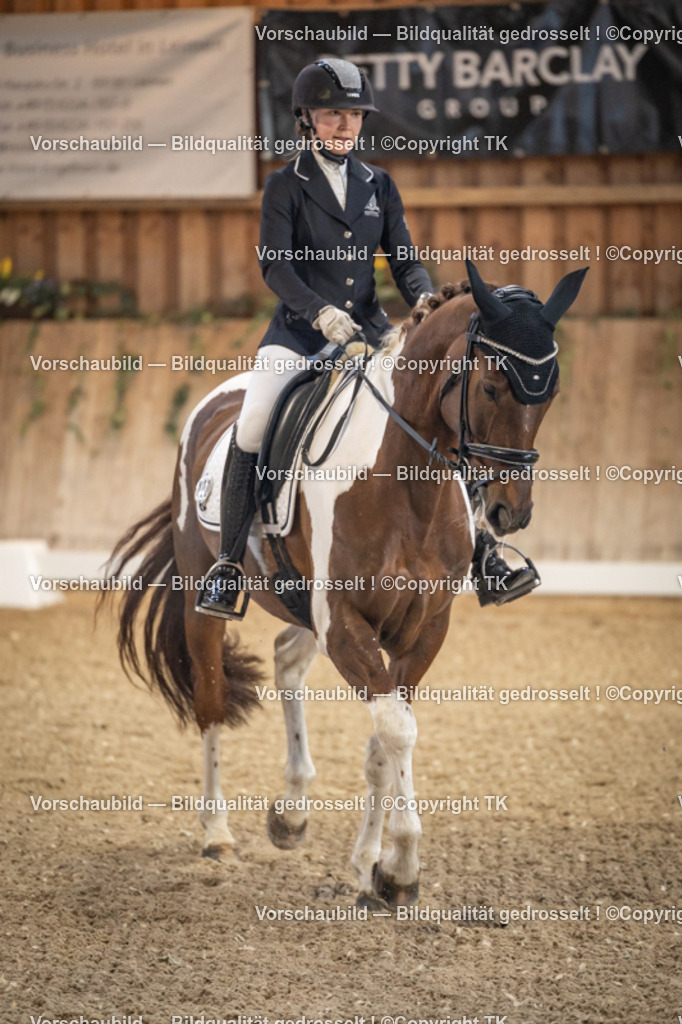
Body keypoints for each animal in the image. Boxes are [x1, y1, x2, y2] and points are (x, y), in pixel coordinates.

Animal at [106, 259, 587, 909]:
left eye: (552, 393)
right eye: (490, 387)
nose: (511, 512)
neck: (407, 483)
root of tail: (215, 401)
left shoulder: (420, 628)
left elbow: (386, 741)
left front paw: (371, 868)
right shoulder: (345, 623)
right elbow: (395, 731)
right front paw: (401, 867)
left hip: (304, 610)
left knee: (287, 661)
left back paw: (291, 813)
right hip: (207, 596)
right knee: (209, 697)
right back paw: (217, 835)